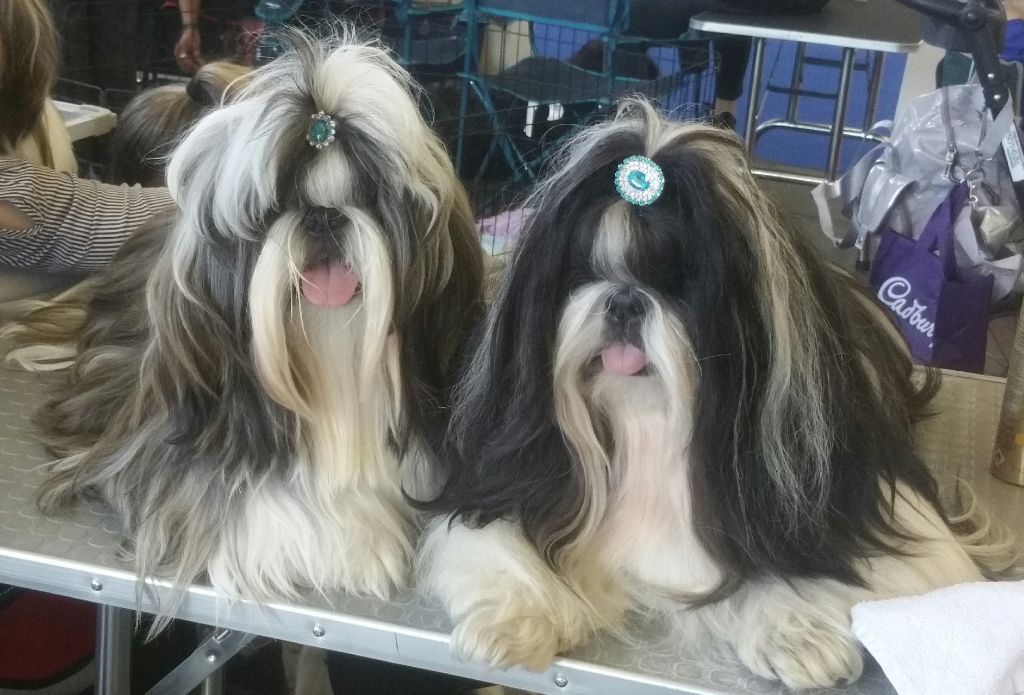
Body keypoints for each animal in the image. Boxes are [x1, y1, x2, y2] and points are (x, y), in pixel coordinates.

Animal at [420, 100, 1013, 689]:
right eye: (581, 272)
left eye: (677, 283)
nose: (625, 300)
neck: (649, 421)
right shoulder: (505, 473)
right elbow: (494, 539)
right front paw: (512, 620)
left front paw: (799, 634)